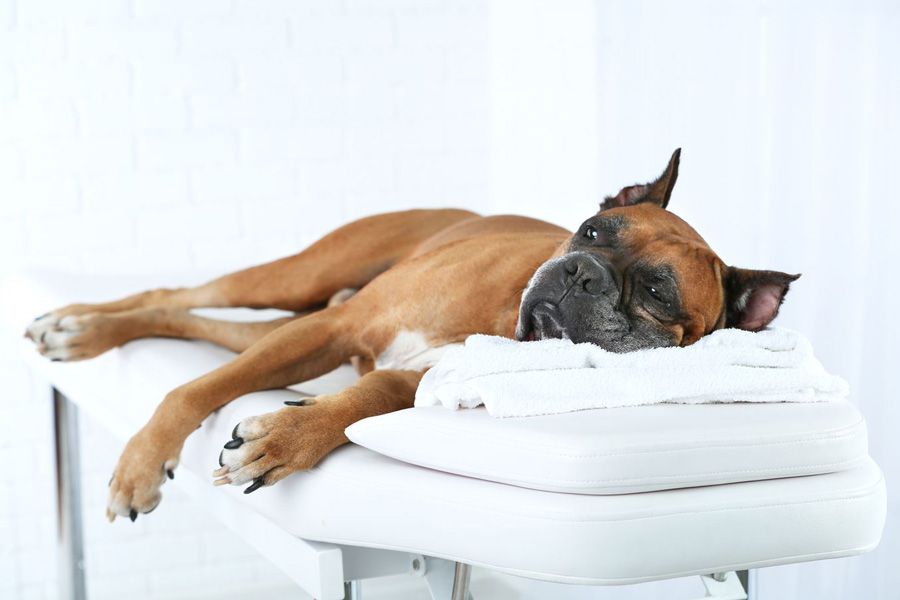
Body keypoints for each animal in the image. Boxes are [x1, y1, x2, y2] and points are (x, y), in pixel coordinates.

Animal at [21, 150, 800, 520]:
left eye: (659, 293)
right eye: (591, 231)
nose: (580, 272)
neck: (501, 322)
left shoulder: (409, 377)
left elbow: (358, 403)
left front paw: (287, 435)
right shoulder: (334, 327)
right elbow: (190, 392)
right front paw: (138, 468)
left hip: (290, 322)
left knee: (193, 320)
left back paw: (79, 332)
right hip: (300, 285)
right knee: (177, 296)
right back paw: (76, 326)